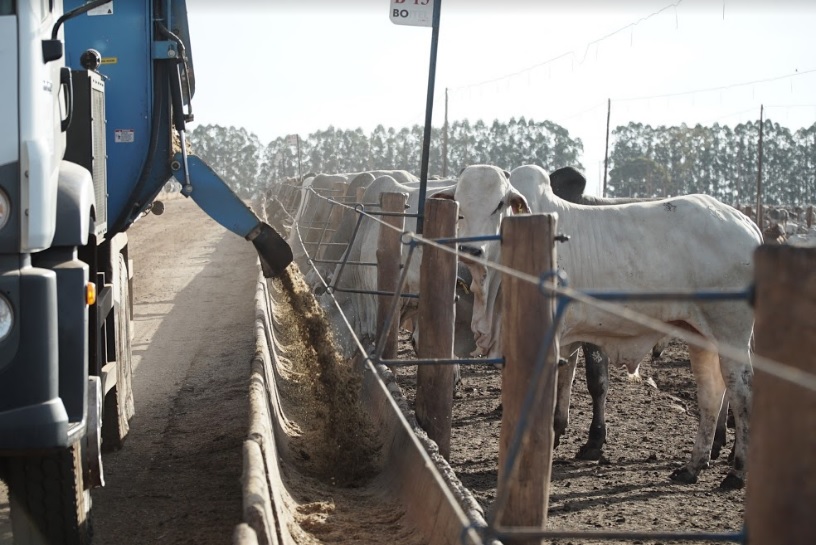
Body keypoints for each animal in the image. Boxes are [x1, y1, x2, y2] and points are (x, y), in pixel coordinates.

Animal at [436, 163, 760, 488]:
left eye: (500, 203)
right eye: (460, 205)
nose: (471, 251)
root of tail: (746, 222)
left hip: (731, 332)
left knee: (741, 392)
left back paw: (737, 470)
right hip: (699, 334)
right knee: (710, 394)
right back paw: (694, 465)